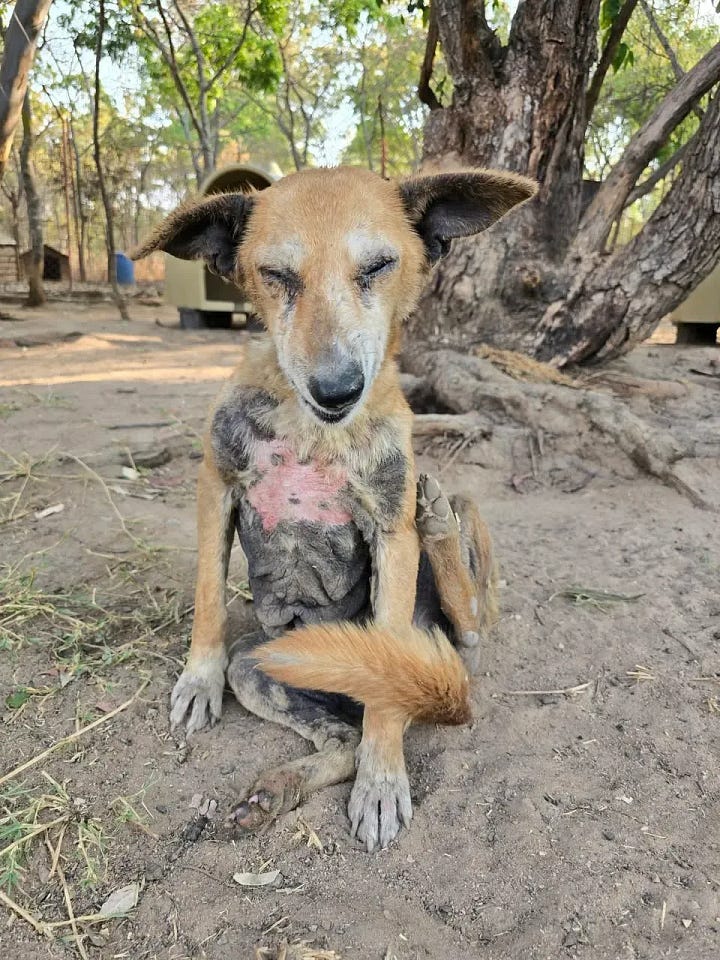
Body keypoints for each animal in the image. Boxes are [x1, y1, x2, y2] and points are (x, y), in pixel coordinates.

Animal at [134, 166, 536, 851]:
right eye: (276, 274)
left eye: (378, 265)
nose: (337, 390)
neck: (311, 430)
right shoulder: (216, 487)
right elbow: (209, 597)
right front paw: (197, 678)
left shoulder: (390, 531)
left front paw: (383, 783)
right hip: (262, 666)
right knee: (340, 740)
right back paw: (273, 792)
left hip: (454, 550)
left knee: (469, 630)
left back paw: (439, 527)